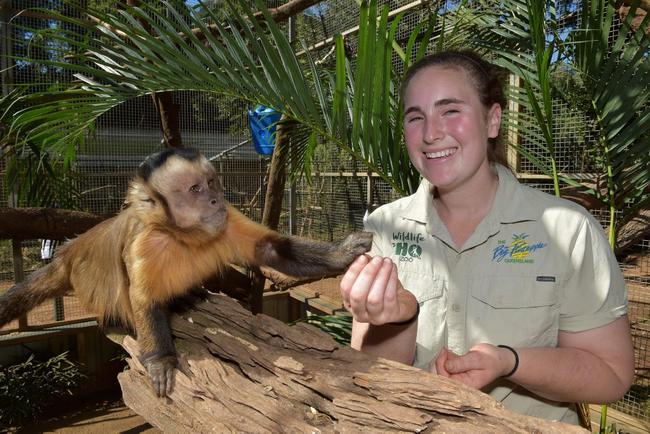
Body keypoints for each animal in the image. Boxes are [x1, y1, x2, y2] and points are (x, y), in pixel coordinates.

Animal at [0, 148, 370, 396]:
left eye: (212, 182)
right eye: (195, 189)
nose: (215, 200)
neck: (183, 236)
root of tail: (68, 253)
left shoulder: (227, 218)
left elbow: (269, 249)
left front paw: (342, 253)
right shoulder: (144, 241)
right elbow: (142, 298)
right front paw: (161, 360)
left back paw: (188, 299)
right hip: (88, 276)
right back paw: (117, 323)